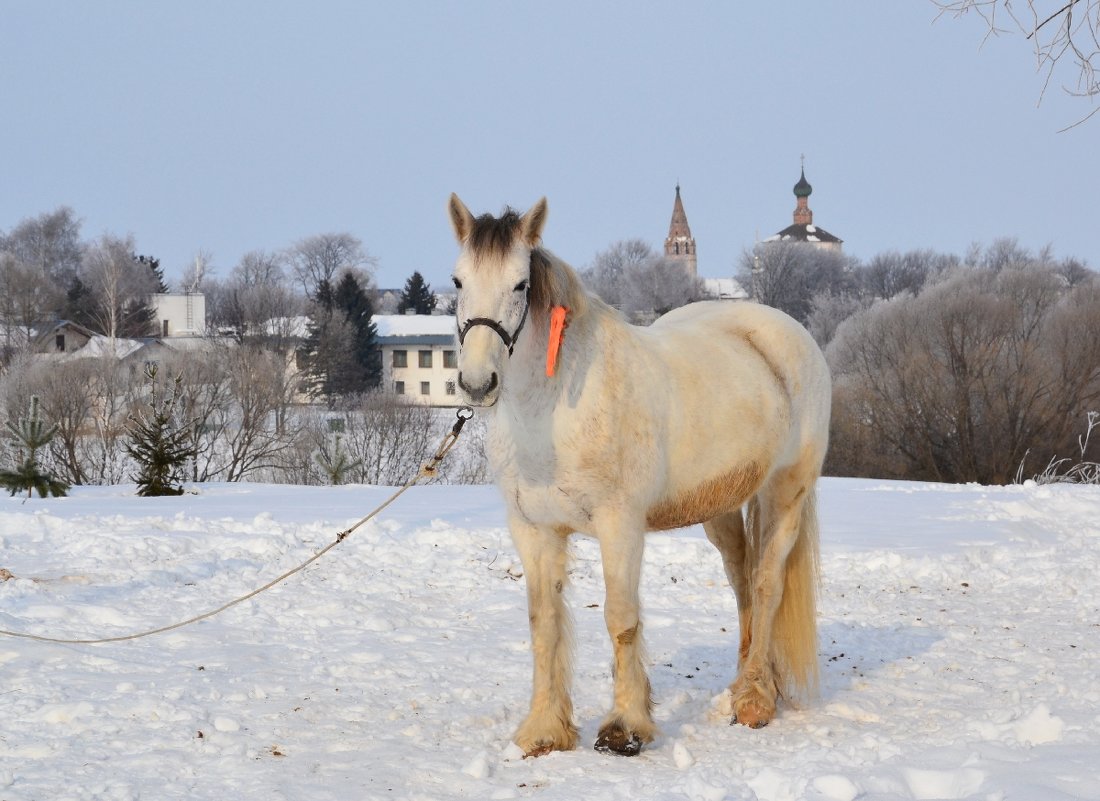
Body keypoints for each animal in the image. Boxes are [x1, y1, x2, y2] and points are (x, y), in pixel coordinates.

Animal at [442, 193, 827, 756]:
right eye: (457, 281)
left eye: (520, 284)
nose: (476, 383)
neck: (554, 411)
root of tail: (786, 330)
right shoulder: (533, 529)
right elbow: (544, 623)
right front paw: (544, 730)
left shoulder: (619, 524)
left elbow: (621, 618)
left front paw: (625, 727)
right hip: (721, 506)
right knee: (742, 580)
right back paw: (746, 684)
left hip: (785, 494)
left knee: (766, 584)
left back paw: (755, 699)